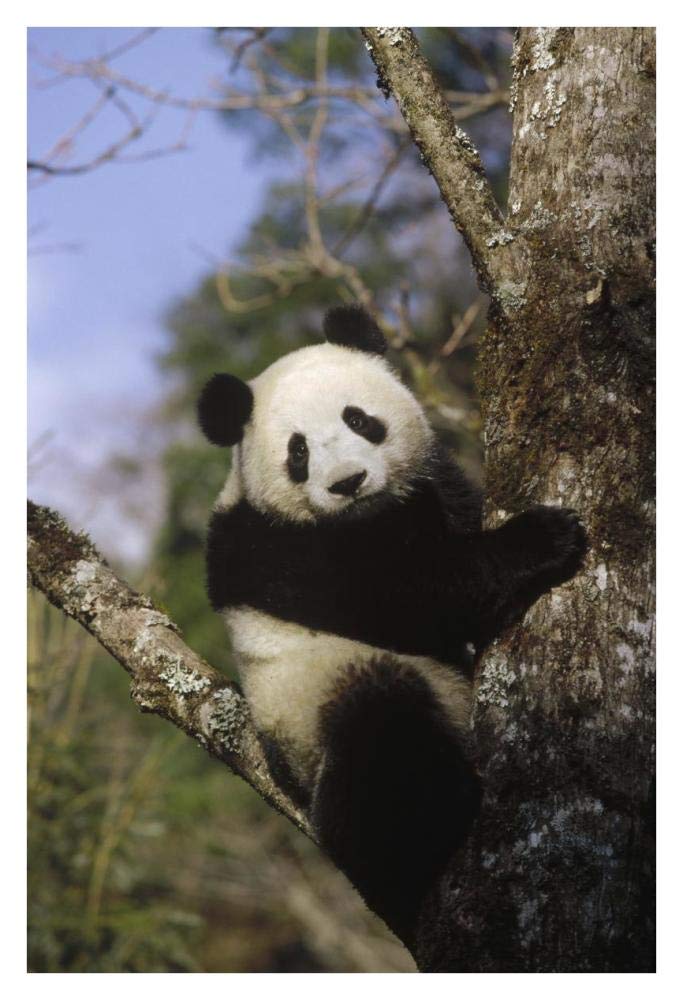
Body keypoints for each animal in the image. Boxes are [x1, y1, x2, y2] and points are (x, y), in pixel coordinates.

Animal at [197, 304, 587, 941]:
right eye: (298, 452)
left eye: (359, 419)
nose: (347, 483)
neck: (370, 518)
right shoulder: (279, 552)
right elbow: (412, 598)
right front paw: (544, 538)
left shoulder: (429, 490)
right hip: (314, 706)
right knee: (379, 732)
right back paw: (430, 839)